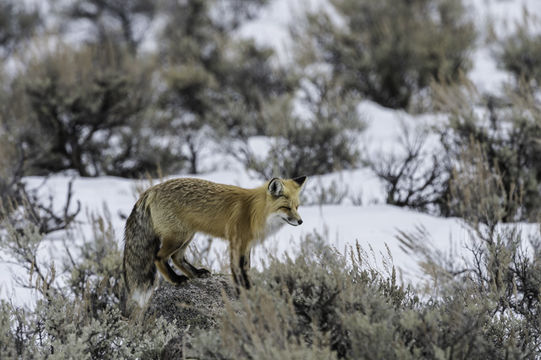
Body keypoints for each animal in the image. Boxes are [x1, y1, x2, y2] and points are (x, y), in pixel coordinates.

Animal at [124, 176, 306, 306]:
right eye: (286, 207)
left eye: (297, 207)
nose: (300, 221)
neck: (254, 211)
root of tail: (151, 189)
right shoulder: (237, 242)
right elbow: (238, 271)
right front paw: (243, 293)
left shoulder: (246, 245)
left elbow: (246, 269)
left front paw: (250, 291)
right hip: (177, 237)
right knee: (159, 257)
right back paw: (176, 279)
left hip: (187, 235)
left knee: (177, 258)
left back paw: (196, 273)